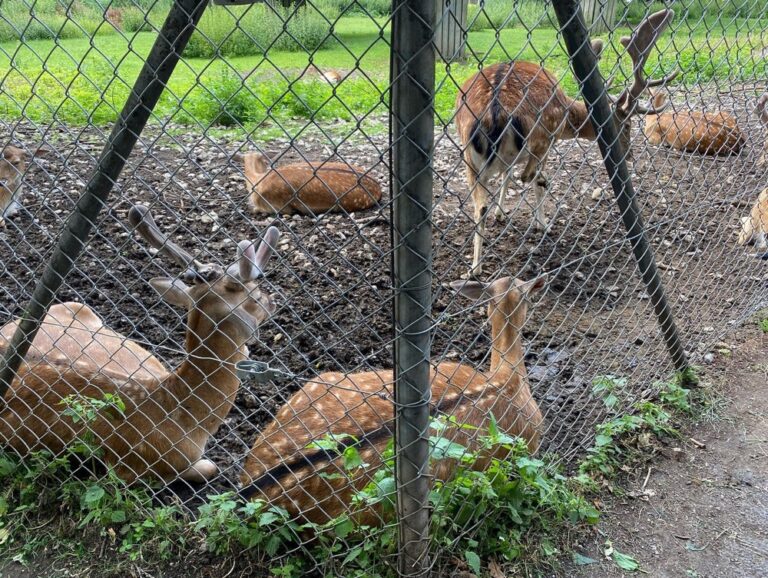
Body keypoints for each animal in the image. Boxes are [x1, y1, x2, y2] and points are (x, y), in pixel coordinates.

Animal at [0, 202, 280, 482]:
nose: (271, 301)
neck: (186, 420)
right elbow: (211, 467)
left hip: (75, 306)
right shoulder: (134, 468)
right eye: (255, 296)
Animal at [456, 8, 680, 274]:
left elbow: (507, 175)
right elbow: (528, 180)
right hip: (540, 138)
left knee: (480, 205)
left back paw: (475, 267)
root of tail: (495, 112)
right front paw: (542, 224)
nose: (629, 155)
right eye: (626, 126)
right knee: (528, 177)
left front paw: (501, 213)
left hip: (469, 158)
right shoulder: (549, 142)